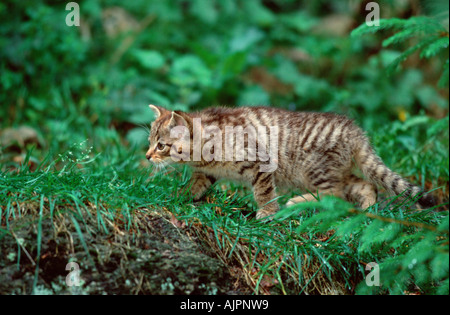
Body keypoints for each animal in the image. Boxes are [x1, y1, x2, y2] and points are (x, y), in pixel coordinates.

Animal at [146, 105, 434, 218]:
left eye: (161, 145)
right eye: (149, 141)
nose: (147, 156)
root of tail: (356, 132)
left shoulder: (260, 162)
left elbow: (263, 192)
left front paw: (266, 213)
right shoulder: (206, 173)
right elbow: (195, 186)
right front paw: (178, 198)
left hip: (314, 169)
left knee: (333, 194)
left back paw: (297, 203)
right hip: (333, 170)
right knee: (364, 185)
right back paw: (366, 210)